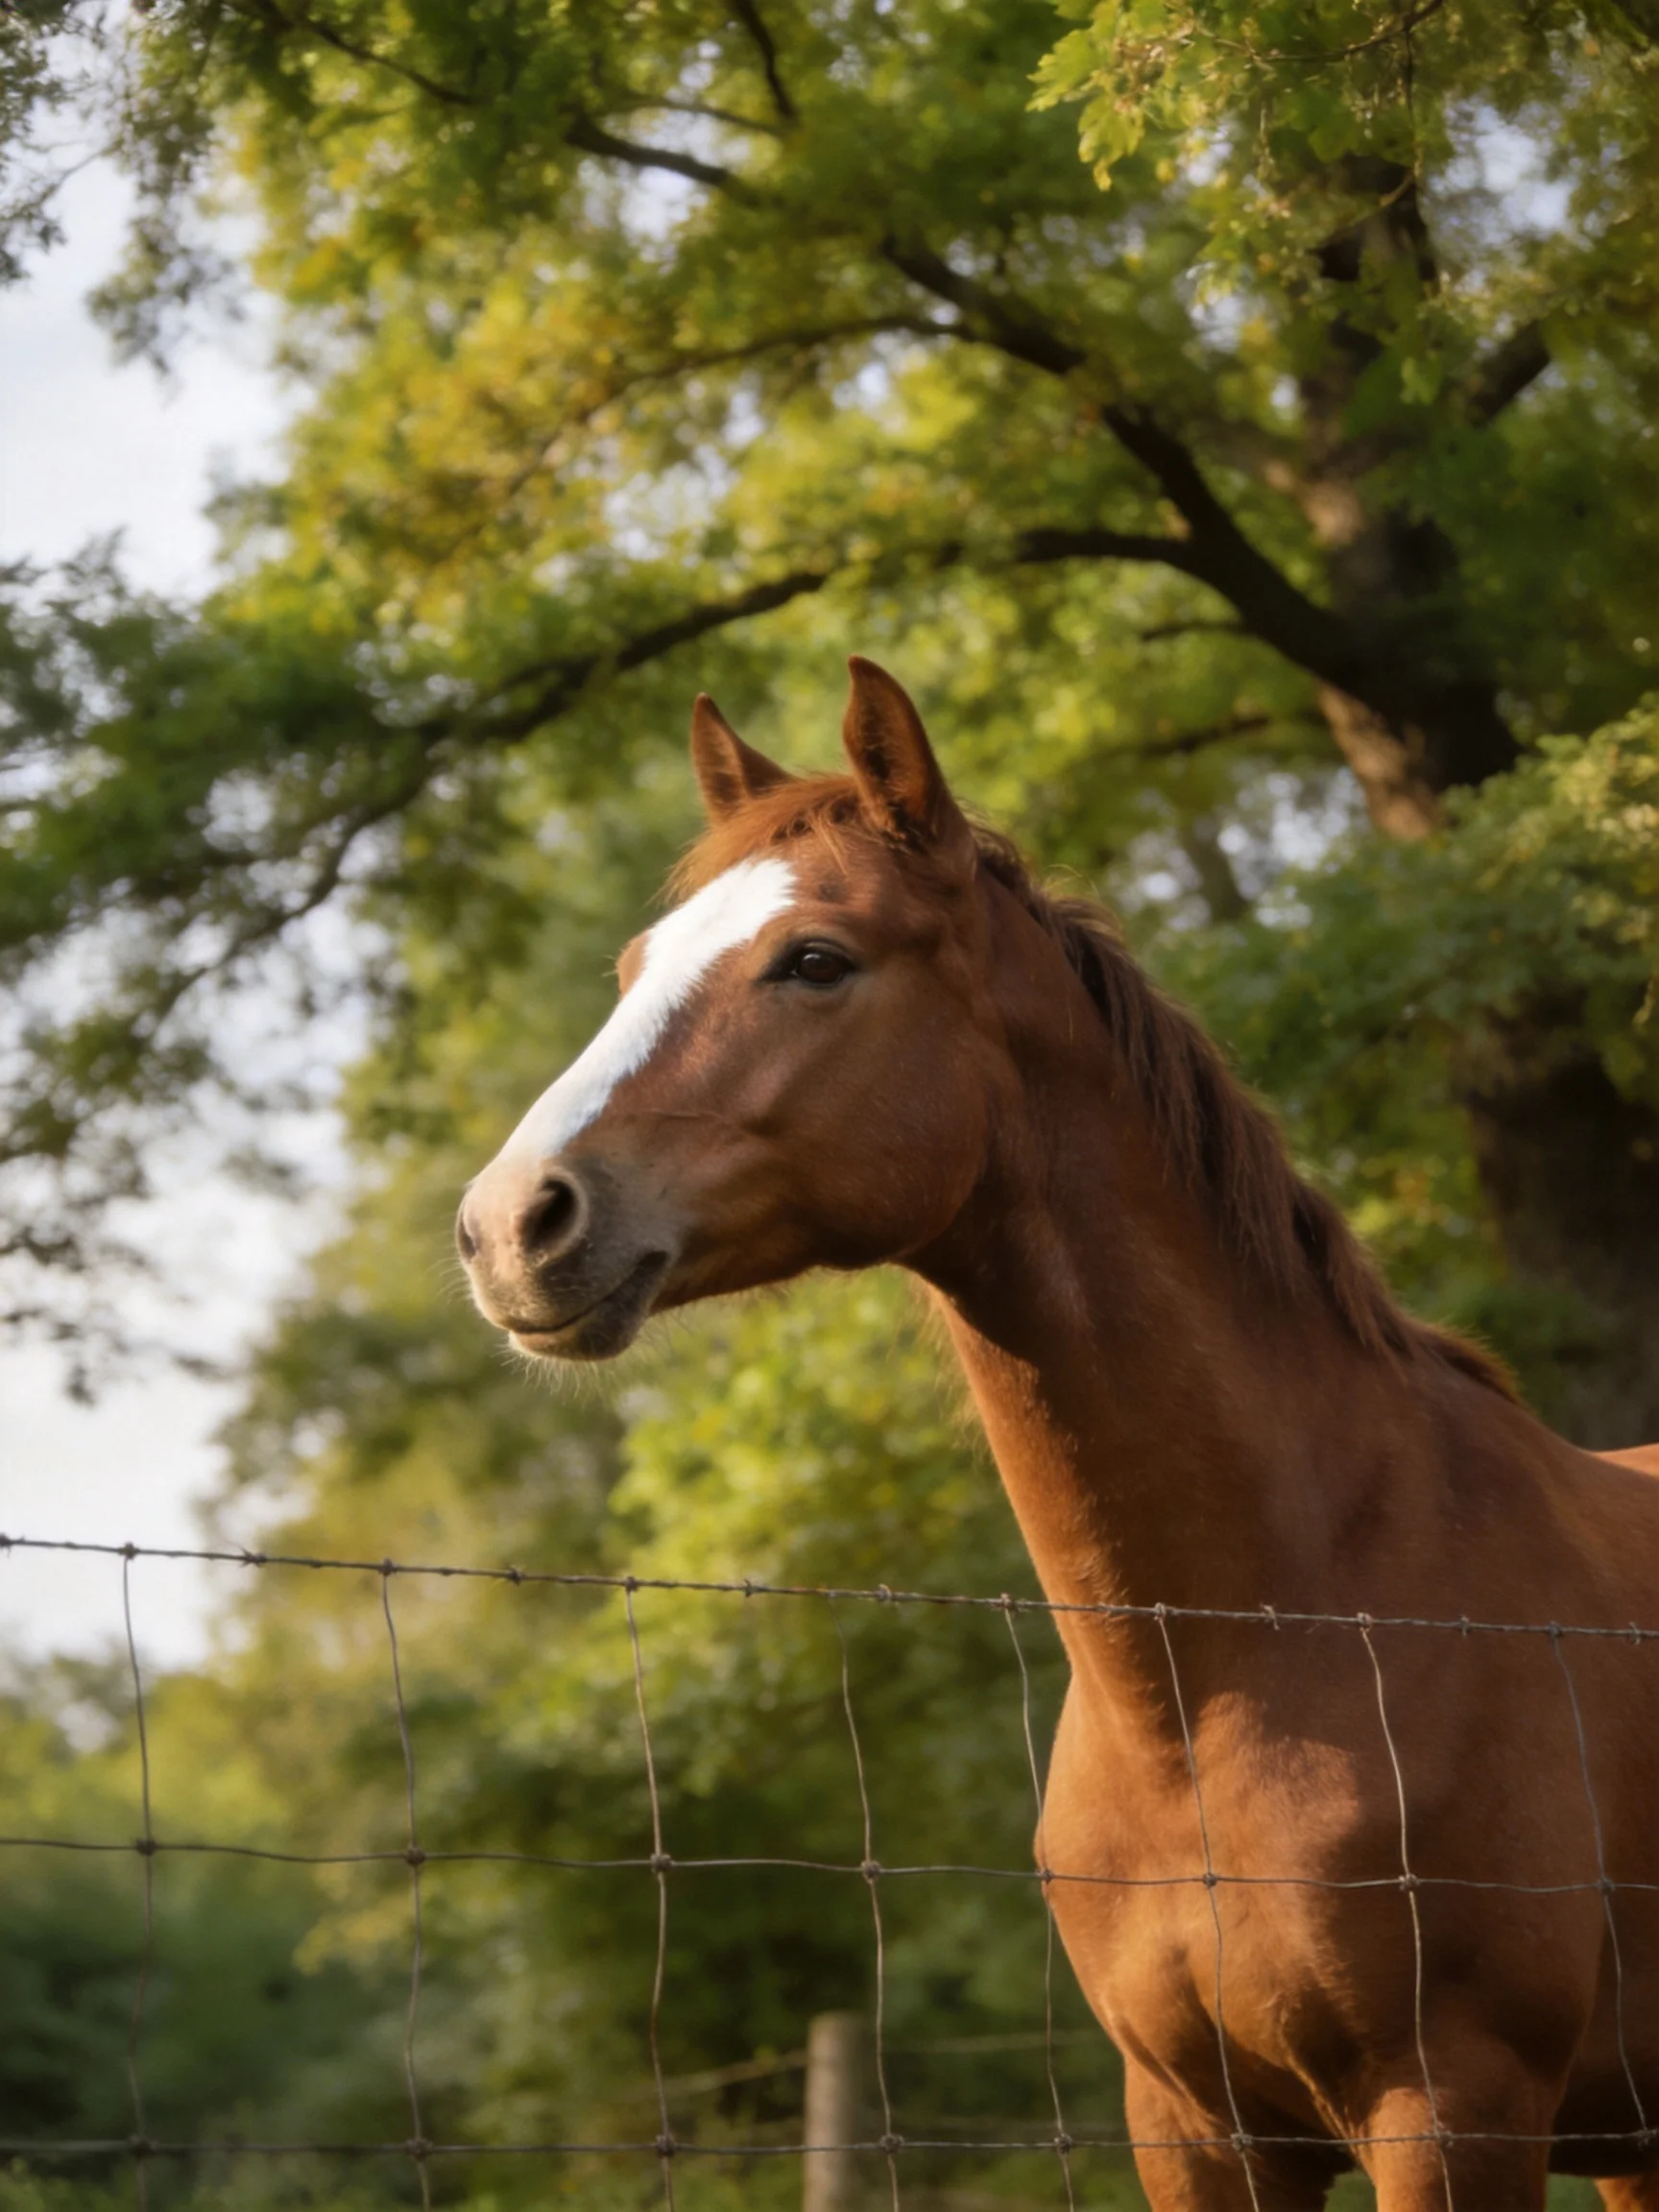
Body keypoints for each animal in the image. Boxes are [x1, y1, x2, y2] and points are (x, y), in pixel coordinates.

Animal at [457, 657, 1659, 2211]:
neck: (1246, 1661)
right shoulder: (1195, 2129)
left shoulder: (1455, 2116)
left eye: (816, 960)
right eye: (632, 969)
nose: (509, 1224)